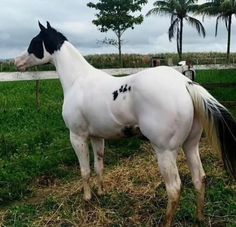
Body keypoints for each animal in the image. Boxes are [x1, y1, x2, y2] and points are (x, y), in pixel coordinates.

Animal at [15, 21, 236, 227]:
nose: (16, 62)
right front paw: (101, 192)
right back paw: (199, 217)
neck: (78, 80)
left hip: (166, 151)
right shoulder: (97, 136)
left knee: (174, 189)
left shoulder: (77, 136)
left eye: (34, 42)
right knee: (200, 179)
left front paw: (87, 198)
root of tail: (185, 83)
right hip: (190, 145)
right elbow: (99, 166)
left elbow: (85, 170)